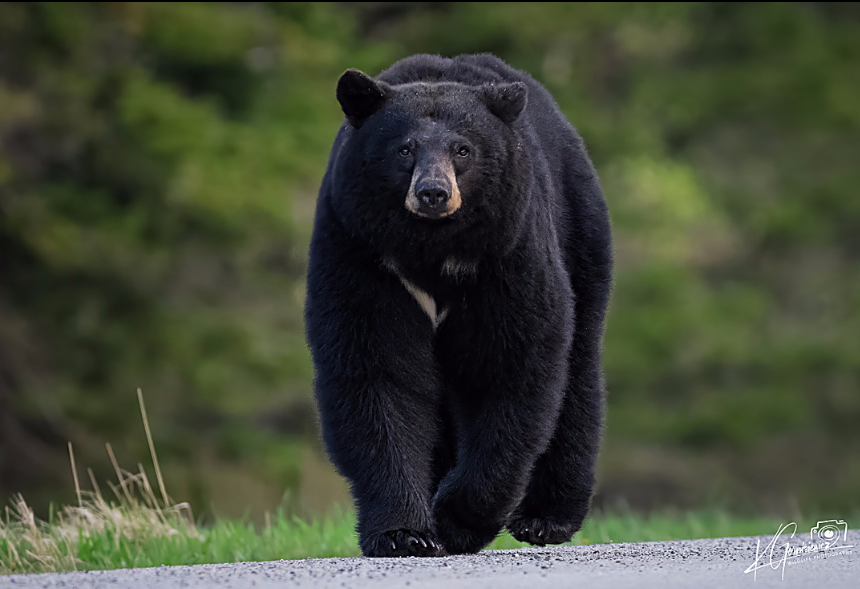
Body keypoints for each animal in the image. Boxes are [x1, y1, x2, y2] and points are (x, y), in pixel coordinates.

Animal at [305, 53, 612, 557]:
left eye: (463, 149)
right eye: (405, 149)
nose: (433, 192)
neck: (432, 250)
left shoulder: (507, 251)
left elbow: (512, 365)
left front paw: (456, 519)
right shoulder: (361, 252)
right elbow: (377, 373)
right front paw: (404, 533)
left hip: (579, 230)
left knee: (578, 367)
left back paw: (547, 517)